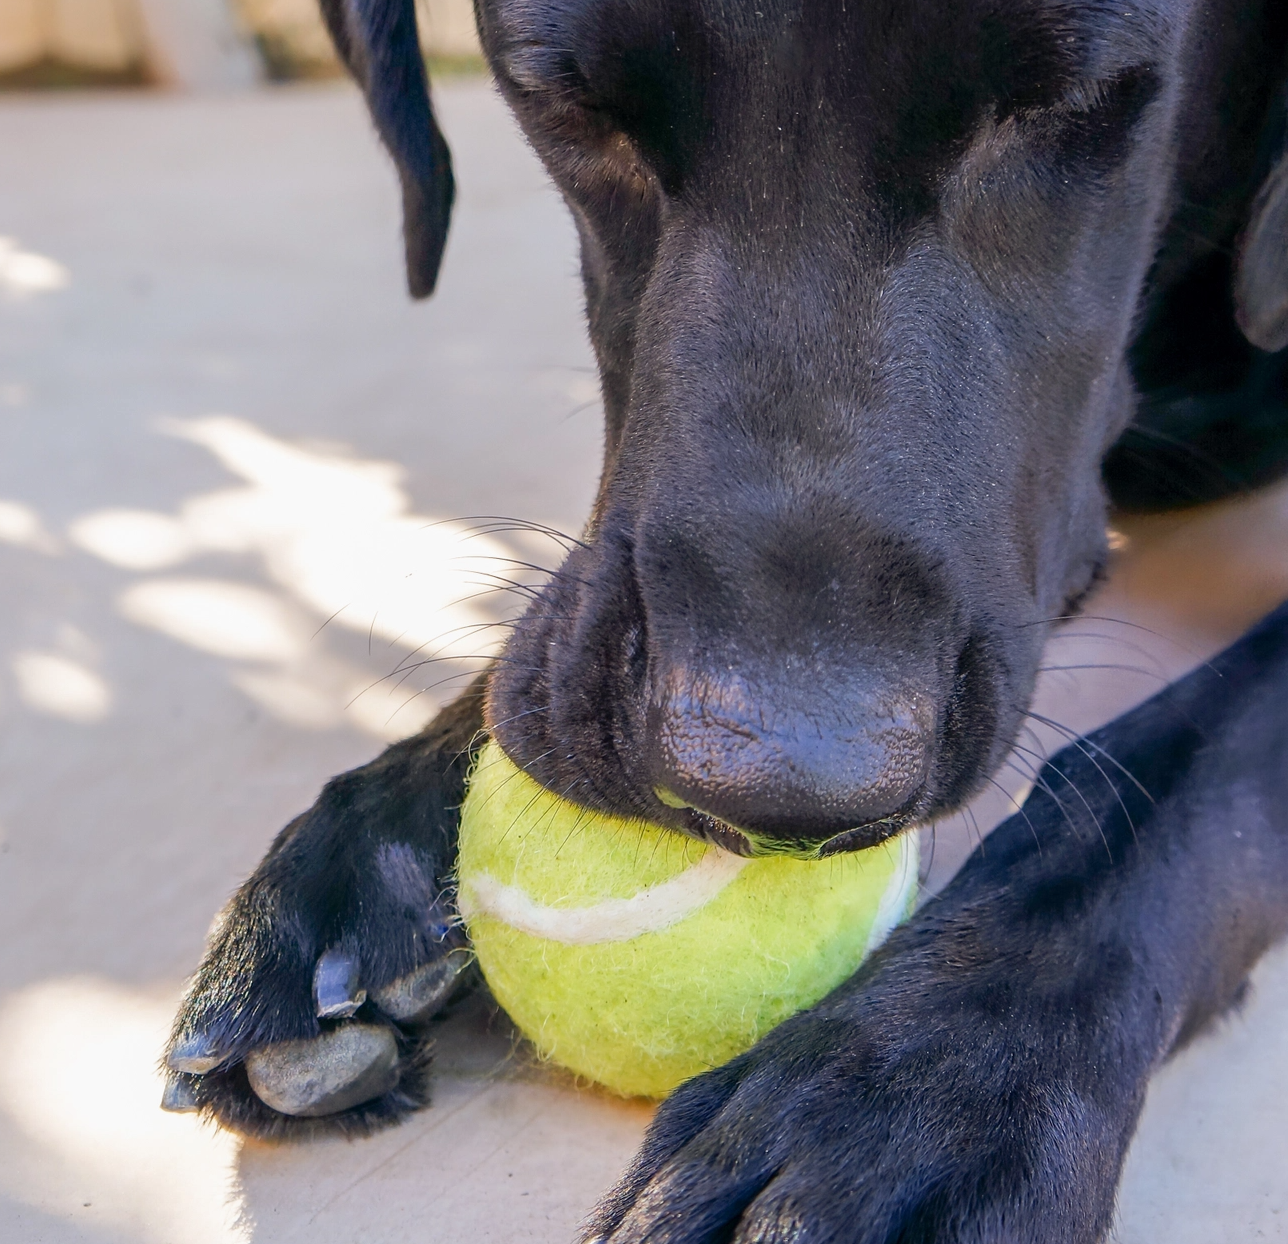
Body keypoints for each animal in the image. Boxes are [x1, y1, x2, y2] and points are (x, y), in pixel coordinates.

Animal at [161, 2, 1288, 1236]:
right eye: (555, 97)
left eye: (1072, 104)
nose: (774, 785)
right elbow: (536, 653)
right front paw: (376, 843)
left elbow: (1182, 766)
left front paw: (911, 1082)